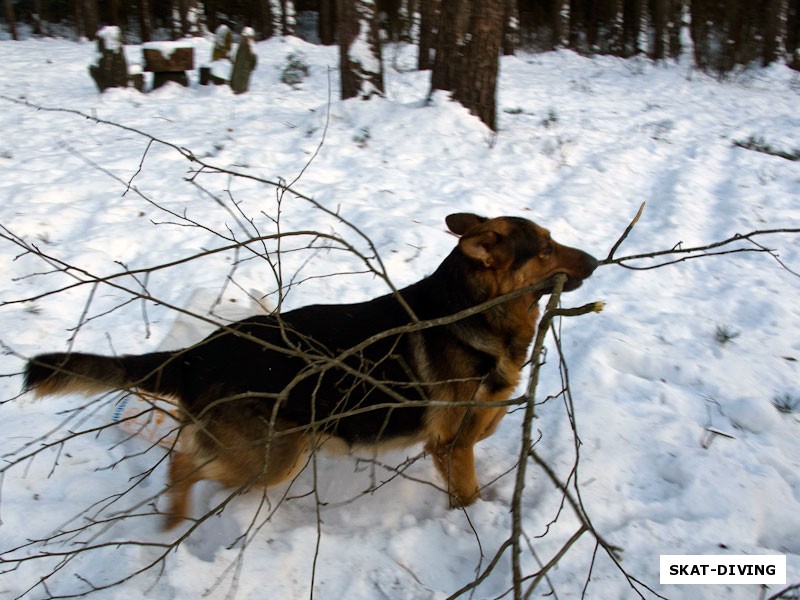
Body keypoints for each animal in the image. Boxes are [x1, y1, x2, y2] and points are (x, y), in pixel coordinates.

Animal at [23, 213, 600, 528]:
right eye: (547, 247)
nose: (596, 261)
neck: (473, 309)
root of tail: (197, 352)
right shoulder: (450, 447)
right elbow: (467, 492)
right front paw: (476, 524)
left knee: (185, 455)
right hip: (272, 460)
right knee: (183, 463)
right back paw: (172, 518)